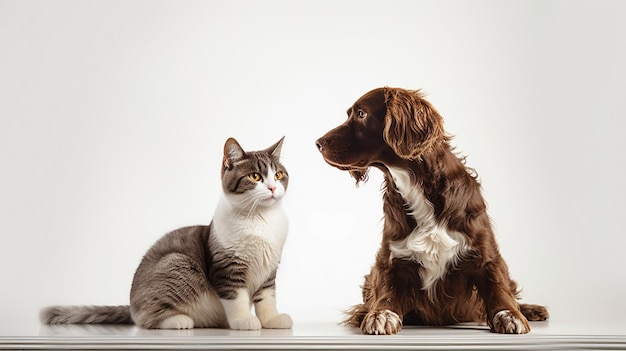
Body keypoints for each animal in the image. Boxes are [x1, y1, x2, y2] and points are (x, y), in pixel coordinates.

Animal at [41, 137, 290, 330]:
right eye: (255, 177)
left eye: (278, 175)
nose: (272, 188)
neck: (260, 219)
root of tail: (131, 305)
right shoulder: (226, 267)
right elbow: (236, 296)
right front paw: (243, 320)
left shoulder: (269, 270)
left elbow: (267, 298)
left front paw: (271, 320)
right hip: (178, 262)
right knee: (144, 319)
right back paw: (177, 320)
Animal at [314, 88, 544, 336]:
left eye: (360, 114)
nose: (318, 143)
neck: (417, 187)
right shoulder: (391, 256)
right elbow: (386, 290)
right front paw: (380, 314)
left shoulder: (484, 251)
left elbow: (498, 286)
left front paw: (510, 315)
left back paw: (532, 309)